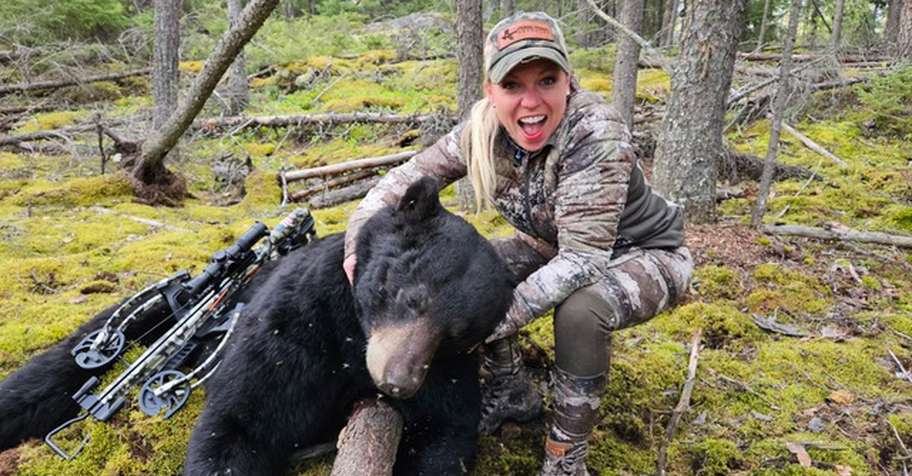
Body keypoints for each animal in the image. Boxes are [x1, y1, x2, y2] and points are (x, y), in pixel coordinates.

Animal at [183, 176, 516, 475]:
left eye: (457, 335)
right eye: (411, 298)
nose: (398, 382)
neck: (356, 336)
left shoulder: (444, 372)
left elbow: (444, 431)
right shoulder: (302, 320)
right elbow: (241, 421)